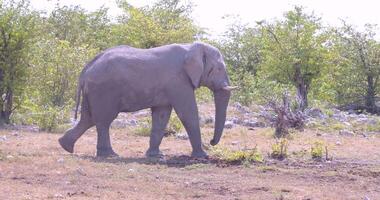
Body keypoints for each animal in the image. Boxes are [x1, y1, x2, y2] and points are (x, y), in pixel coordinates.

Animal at [58, 41, 235, 158]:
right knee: (103, 121)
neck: (191, 47)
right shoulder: (178, 81)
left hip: (93, 91)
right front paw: (202, 156)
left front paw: (156, 156)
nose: (211, 142)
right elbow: (188, 113)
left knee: (88, 119)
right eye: (219, 69)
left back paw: (65, 146)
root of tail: (86, 69)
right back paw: (110, 155)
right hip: (103, 90)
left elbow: (162, 115)